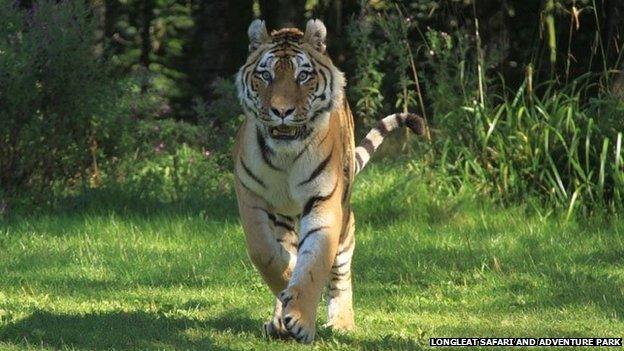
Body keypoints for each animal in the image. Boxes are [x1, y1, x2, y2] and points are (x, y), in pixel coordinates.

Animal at [234, 18, 428, 344]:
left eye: (302, 76)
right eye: (266, 75)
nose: (281, 111)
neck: (285, 156)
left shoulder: (324, 200)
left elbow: (314, 262)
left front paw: (300, 318)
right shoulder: (250, 195)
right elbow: (264, 252)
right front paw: (287, 285)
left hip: (346, 217)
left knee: (341, 268)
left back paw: (342, 322)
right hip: (284, 216)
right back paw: (278, 319)